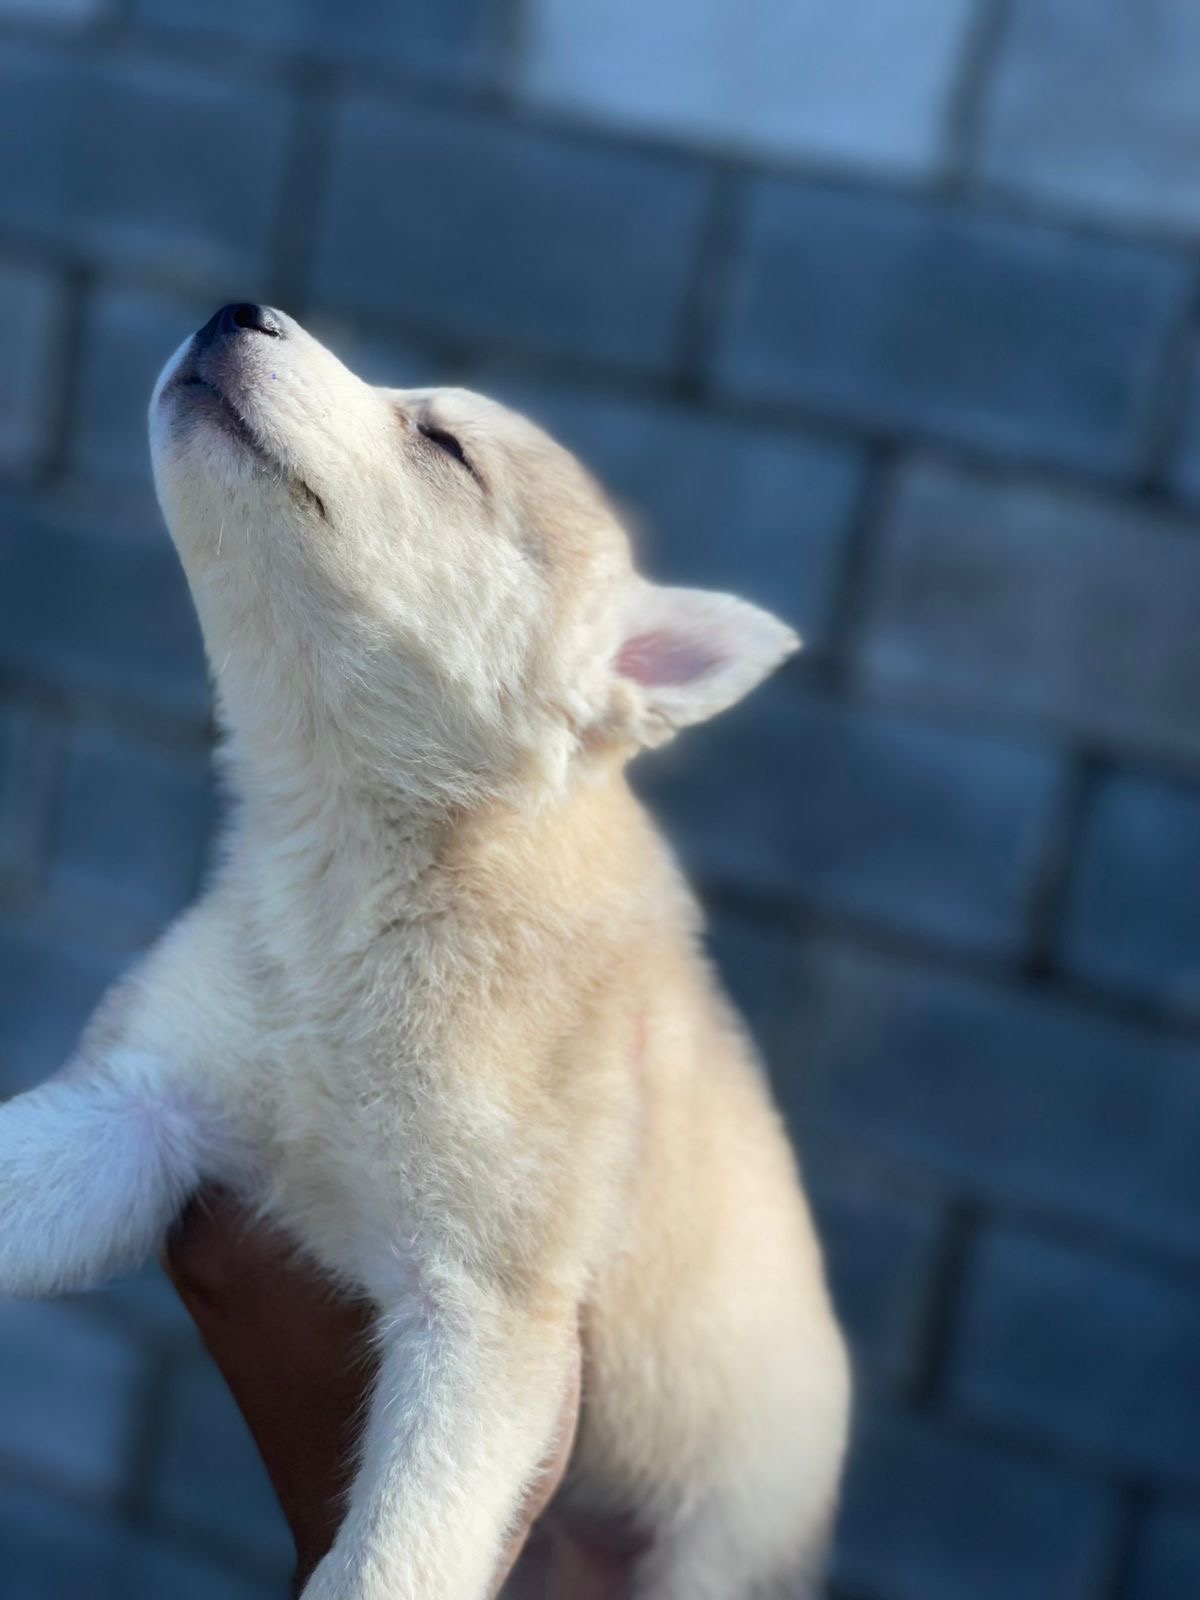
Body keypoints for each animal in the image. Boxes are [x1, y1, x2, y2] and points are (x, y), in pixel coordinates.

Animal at [0, 305, 844, 1593]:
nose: (236, 309)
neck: (356, 878)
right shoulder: (139, 1107)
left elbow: (393, 1553)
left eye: (443, 442)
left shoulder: (488, 1312)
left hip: (718, 1545)